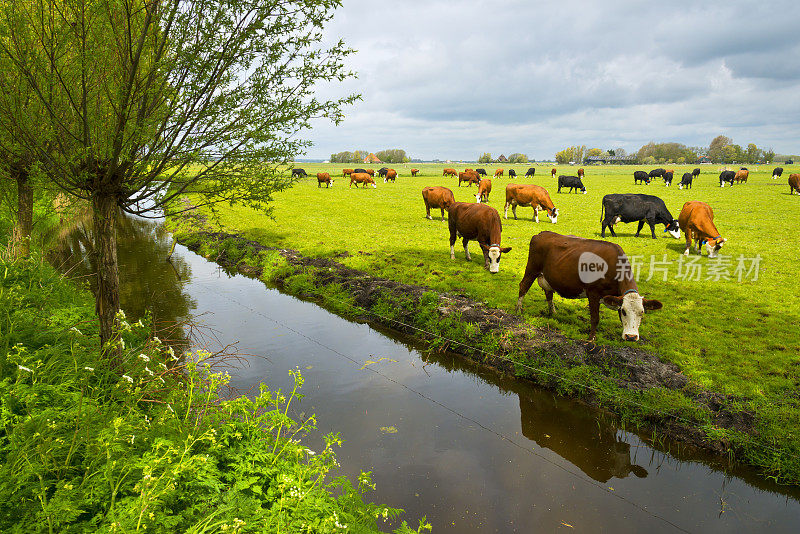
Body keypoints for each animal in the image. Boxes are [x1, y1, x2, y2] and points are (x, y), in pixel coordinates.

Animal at [516, 231, 664, 344]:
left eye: (642, 313)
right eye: (624, 311)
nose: (632, 337)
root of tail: (542, 233)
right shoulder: (593, 292)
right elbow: (595, 318)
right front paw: (591, 339)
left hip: (548, 276)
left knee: (549, 293)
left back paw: (553, 313)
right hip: (532, 269)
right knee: (523, 286)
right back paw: (518, 310)